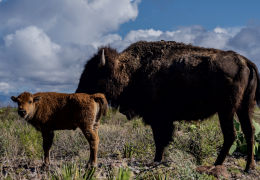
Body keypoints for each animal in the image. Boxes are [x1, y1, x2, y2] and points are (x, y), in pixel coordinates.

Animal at [75, 40, 260, 172]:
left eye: (92, 73)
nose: (78, 94)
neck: (131, 70)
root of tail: (245, 61)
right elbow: (162, 139)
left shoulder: (158, 118)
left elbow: (160, 139)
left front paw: (157, 160)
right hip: (244, 107)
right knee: (249, 131)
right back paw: (249, 168)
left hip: (226, 110)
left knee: (231, 134)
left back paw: (217, 164)